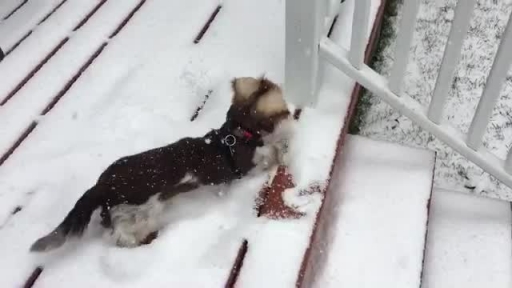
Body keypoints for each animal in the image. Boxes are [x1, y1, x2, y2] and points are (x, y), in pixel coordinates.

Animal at [31, 76, 292, 252]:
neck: (235, 133)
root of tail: (101, 186)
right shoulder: (249, 165)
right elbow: (271, 151)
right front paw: (283, 148)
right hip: (142, 209)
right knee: (120, 234)